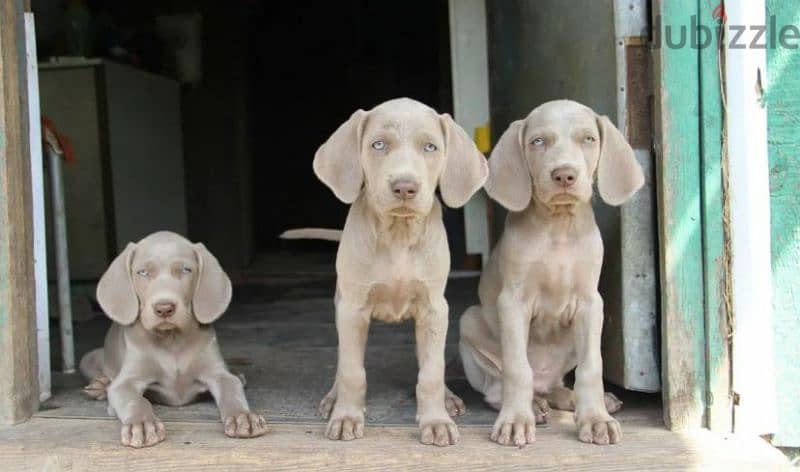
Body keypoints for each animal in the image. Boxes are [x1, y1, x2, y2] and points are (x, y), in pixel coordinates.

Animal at [80, 231, 268, 446]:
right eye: (142, 272)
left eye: (186, 270)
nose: (164, 308)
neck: (171, 340)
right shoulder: (125, 382)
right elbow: (136, 400)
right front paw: (142, 424)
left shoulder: (218, 373)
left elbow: (231, 390)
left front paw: (242, 417)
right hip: (88, 358)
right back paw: (100, 386)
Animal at [310, 97, 488, 444]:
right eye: (378, 144)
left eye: (430, 147)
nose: (405, 187)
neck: (398, 235)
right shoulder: (352, 309)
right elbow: (352, 371)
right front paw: (346, 416)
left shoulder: (434, 309)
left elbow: (431, 372)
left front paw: (436, 420)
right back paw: (333, 398)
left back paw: (448, 398)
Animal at [456, 99, 644, 446]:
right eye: (538, 142)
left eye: (588, 139)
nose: (565, 175)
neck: (558, 227)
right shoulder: (512, 302)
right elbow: (517, 368)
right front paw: (515, 421)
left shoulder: (590, 304)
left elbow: (591, 367)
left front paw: (596, 418)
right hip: (470, 321)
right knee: (498, 387)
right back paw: (532, 405)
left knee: (559, 385)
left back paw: (577, 399)